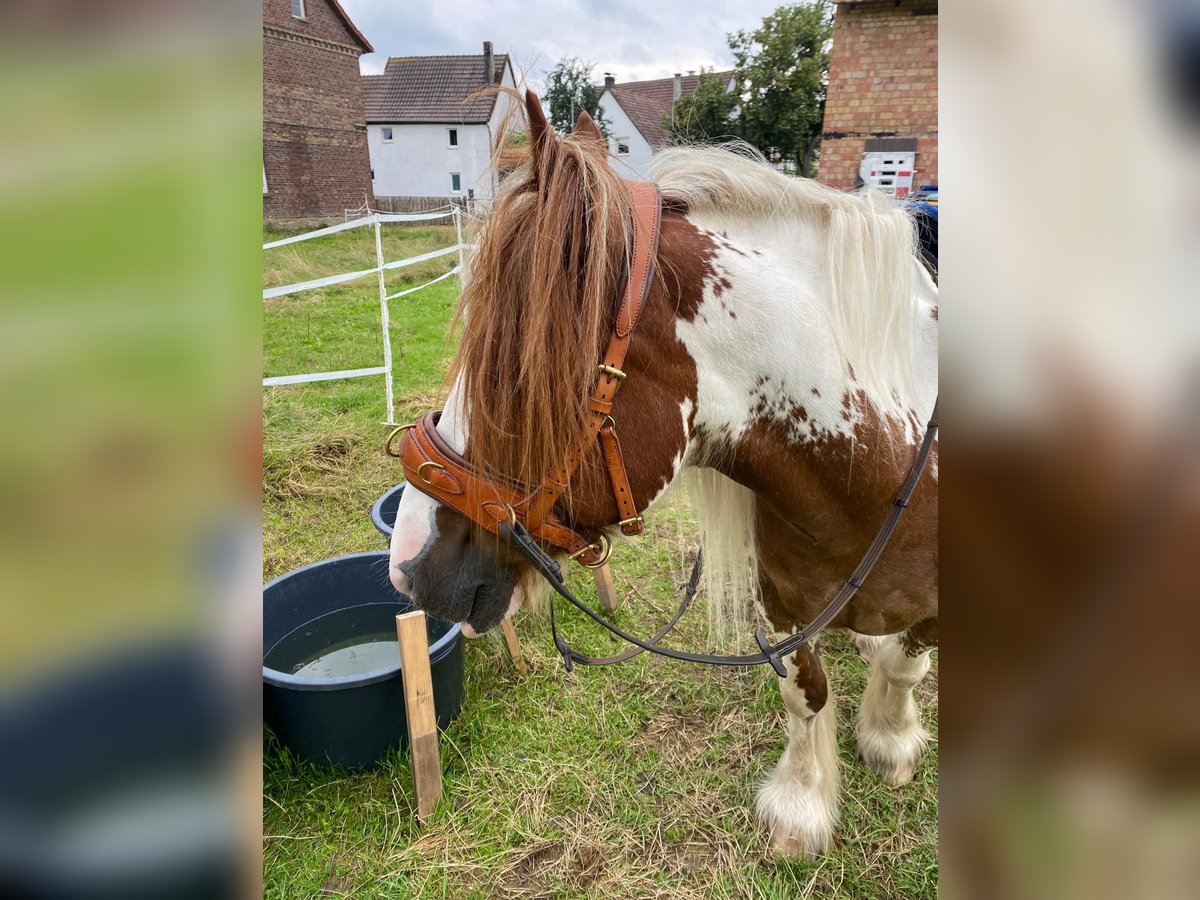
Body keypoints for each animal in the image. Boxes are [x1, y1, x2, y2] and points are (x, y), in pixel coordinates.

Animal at [387, 90, 938, 857]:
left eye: (514, 371)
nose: (406, 564)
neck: (870, 469)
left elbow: (902, 665)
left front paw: (890, 739)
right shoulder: (781, 602)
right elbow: (805, 693)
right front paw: (802, 805)